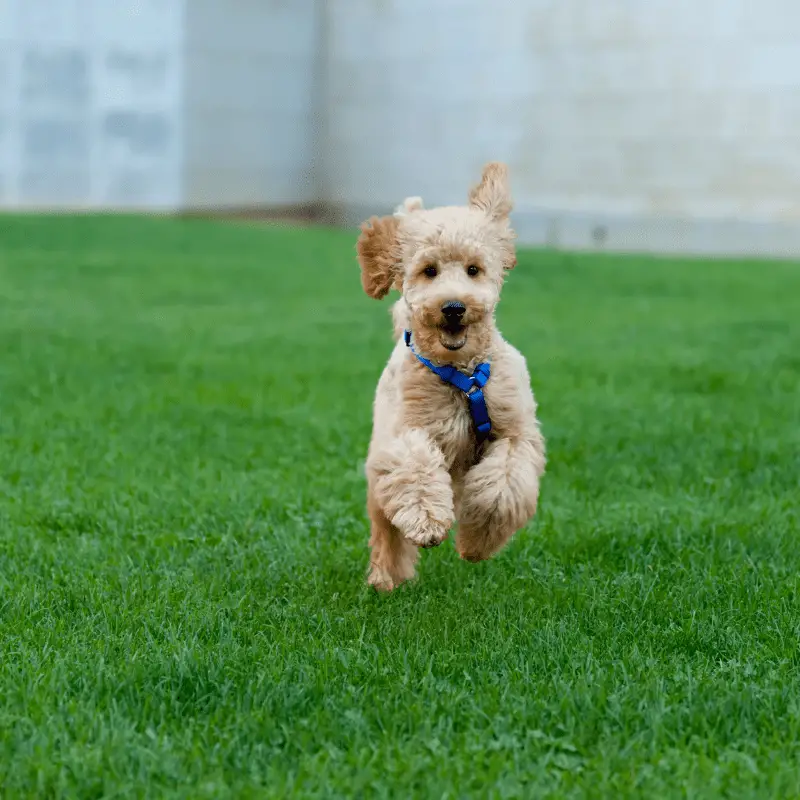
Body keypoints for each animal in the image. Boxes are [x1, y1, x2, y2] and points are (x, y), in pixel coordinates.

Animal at [360, 162, 548, 592]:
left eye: (473, 269)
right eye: (429, 271)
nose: (453, 307)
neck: (463, 377)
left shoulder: (515, 433)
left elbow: (501, 488)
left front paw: (477, 544)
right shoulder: (407, 433)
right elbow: (415, 469)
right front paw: (428, 523)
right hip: (379, 472)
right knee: (385, 529)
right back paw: (384, 578)